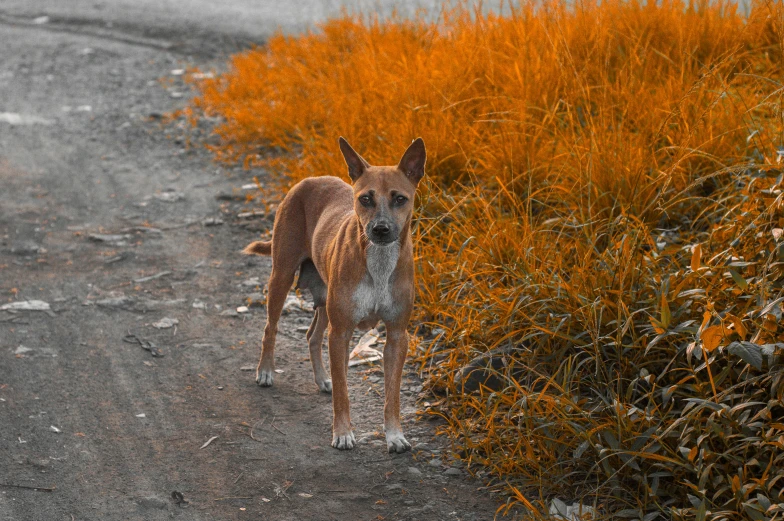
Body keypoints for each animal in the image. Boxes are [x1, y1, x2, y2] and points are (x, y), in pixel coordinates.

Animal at [245, 137, 428, 450]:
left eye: (400, 199)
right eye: (365, 199)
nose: (380, 229)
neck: (379, 262)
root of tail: (309, 179)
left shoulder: (396, 336)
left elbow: (392, 395)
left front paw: (394, 435)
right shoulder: (341, 332)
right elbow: (344, 391)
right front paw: (342, 432)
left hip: (324, 300)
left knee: (313, 336)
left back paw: (323, 379)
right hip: (282, 276)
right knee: (271, 327)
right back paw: (265, 371)